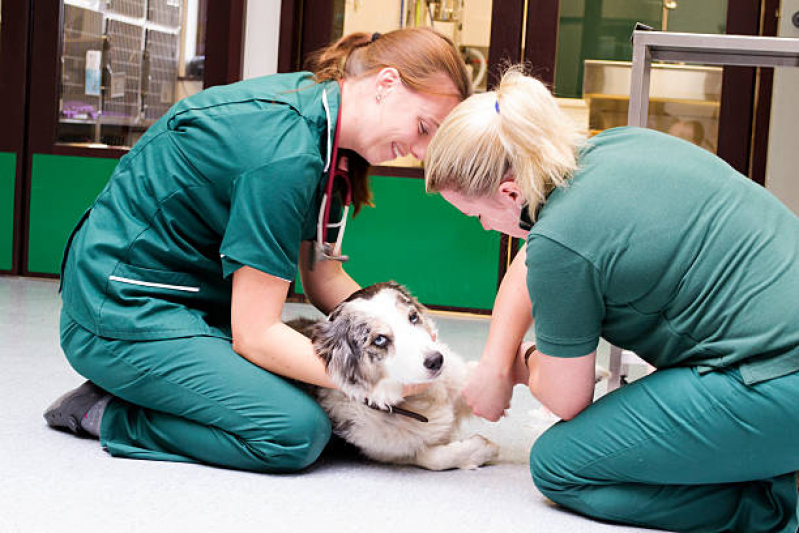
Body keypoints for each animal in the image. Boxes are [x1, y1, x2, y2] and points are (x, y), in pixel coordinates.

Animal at [288, 282, 500, 470]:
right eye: (380, 340)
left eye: (413, 317)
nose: (437, 360)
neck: (416, 401)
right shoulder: (385, 450)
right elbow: (432, 459)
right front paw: (484, 449)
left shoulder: (458, 376)